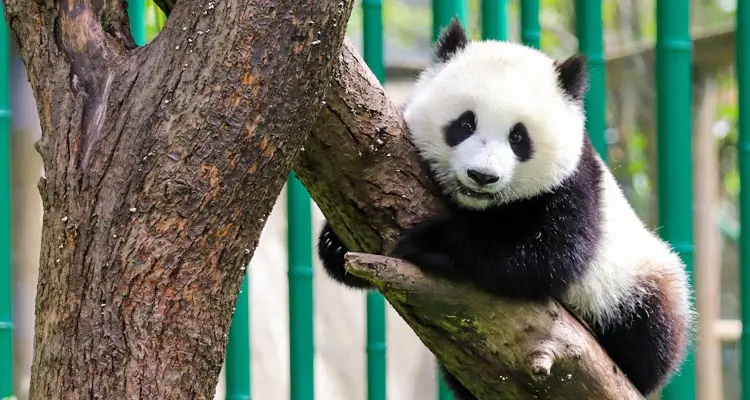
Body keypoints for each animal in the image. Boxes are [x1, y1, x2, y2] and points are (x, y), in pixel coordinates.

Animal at [316, 17, 692, 398]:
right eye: (465, 123)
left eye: (518, 137)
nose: (482, 176)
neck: (481, 208)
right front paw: (336, 244)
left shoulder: (576, 186)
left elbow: (545, 256)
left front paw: (432, 244)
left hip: (638, 278)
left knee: (651, 331)